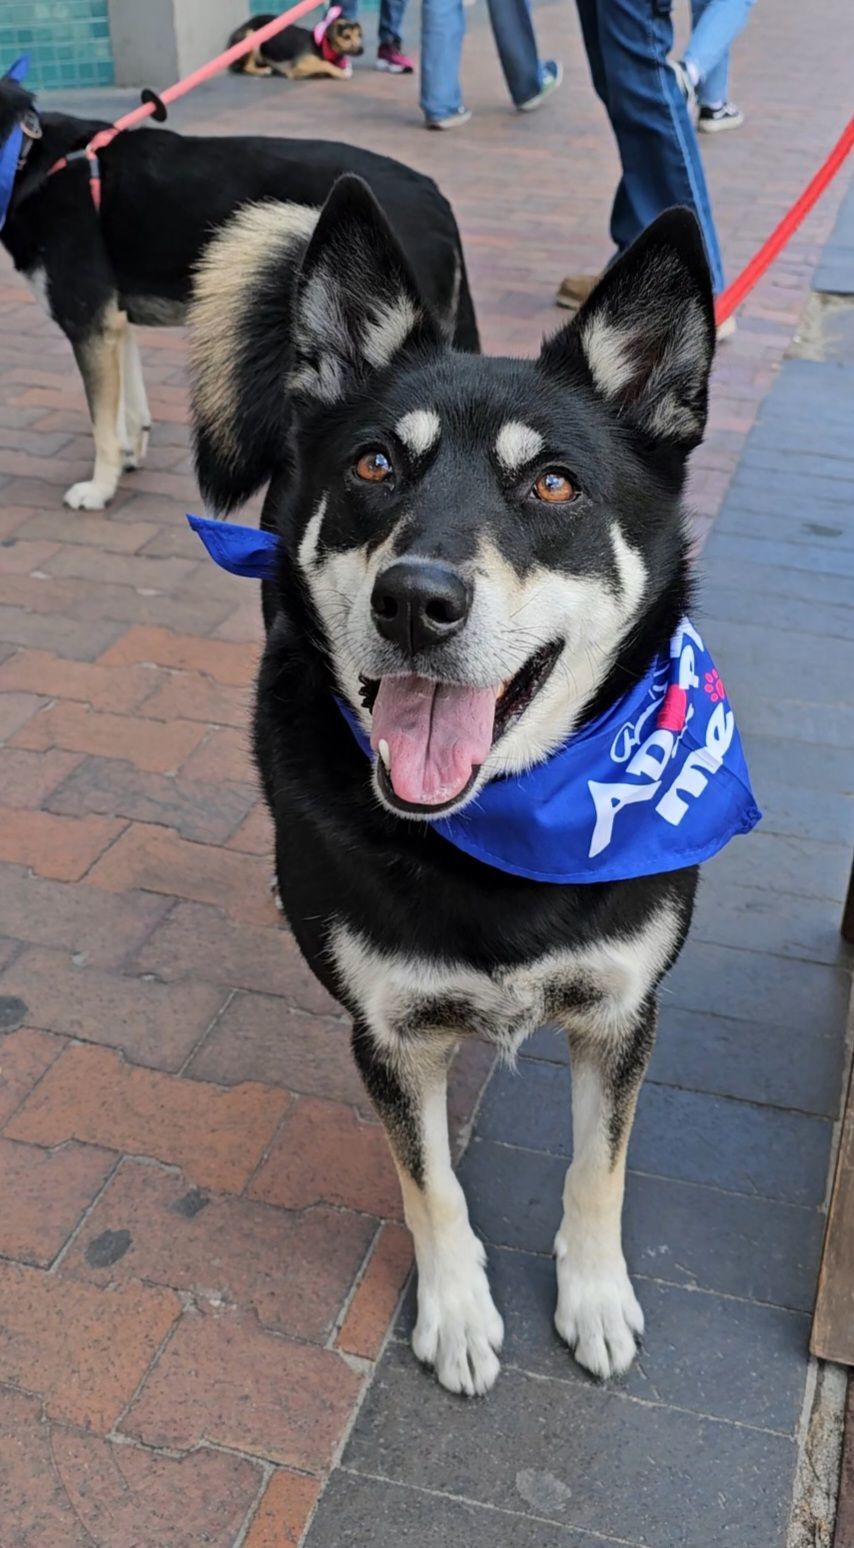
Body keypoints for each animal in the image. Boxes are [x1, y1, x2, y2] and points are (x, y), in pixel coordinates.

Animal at [0, 75, 473, 510]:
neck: (28, 161)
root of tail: (435, 194)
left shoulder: (87, 322)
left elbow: (101, 421)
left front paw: (99, 488)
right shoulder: (114, 321)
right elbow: (127, 404)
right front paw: (129, 454)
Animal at [188, 175, 720, 1399]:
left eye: (554, 483)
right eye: (376, 465)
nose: (415, 601)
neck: (502, 826)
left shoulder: (622, 1009)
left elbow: (597, 1168)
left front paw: (594, 1297)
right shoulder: (387, 1032)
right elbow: (428, 1184)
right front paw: (459, 1314)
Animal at [227, 8, 363, 80]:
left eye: (360, 35)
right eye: (346, 37)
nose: (362, 50)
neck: (323, 46)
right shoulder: (299, 64)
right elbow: (324, 63)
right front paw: (339, 72)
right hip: (251, 35)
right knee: (246, 67)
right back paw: (263, 71)